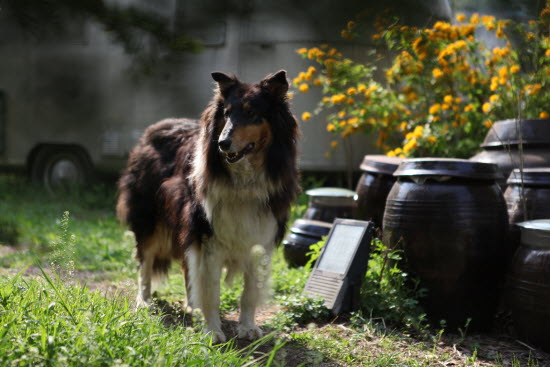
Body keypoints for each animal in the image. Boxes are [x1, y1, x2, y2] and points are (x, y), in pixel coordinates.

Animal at [114, 70, 300, 344]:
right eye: (227, 113)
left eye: (252, 113)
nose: (223, 143)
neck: (244, 180)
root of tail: (154, 127)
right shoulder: (208, 235)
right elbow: (212, 290)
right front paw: (212, 331)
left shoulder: (260, 236)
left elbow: (249, 292)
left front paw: (248, 328)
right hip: (150, 219)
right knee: (144, 261)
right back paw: (144, 301)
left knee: (185, 268)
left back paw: (193, 305)